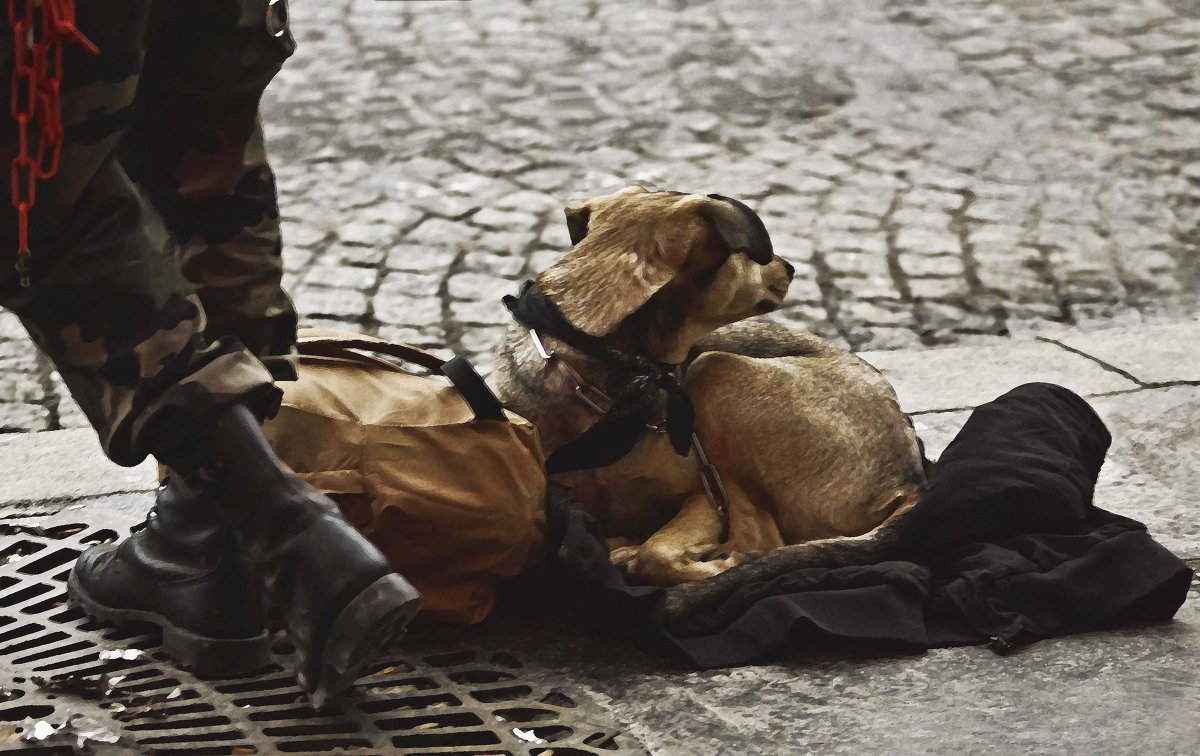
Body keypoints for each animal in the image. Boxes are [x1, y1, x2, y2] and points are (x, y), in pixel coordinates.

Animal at [492, 188, 921, 597]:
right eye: (743, 256)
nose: (790, 267)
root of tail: (910, 480)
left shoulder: (709, 494)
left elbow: (658, 551)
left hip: (715, 373)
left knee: (761, 538)